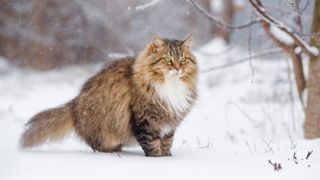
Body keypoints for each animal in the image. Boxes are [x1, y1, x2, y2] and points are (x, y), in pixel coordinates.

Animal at [20, 34, 198, 156]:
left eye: (183, 59)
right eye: (168, 59)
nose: (178, 68)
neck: (172, 86)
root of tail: (74, 103)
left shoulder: (169, 123)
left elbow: (167, 143)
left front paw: (167, 157)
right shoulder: (144, 120)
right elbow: (152, 145)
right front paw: (158, 159)